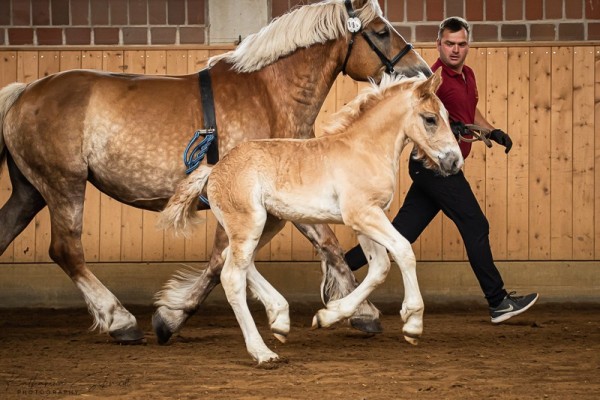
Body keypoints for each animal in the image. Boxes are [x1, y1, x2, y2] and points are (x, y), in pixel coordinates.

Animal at [0, 0, 428, 344]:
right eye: (380, 31)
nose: (420, 72)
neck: (268, 94)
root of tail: (23, 93)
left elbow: (327, 244)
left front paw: (357, 312)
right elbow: (225, 261)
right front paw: (171, 317)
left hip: (30, 191)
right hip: (63, 185)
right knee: (66, 250)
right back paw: (120, 321)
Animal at [157, 72, 462, 366]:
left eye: (448, 118)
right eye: (431, 119)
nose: (454, 162)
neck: (365, 149)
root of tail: (214, 169)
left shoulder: (365, 219)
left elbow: (380, 267)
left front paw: (328, 315)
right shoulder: (363, 214)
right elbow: (403, 251)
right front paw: (413, 323)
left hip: (268, 223)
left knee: (231, 261)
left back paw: (280, 318)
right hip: (249, 223)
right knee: (232, 275)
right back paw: (262, 353)